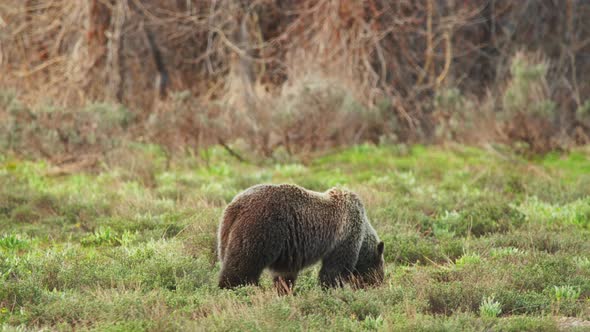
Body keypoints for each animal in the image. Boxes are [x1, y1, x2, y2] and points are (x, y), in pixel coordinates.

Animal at [217, 183, 384, 294]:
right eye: (381, 270)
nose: (378, 285)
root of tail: (236, 206)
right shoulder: (344, 236)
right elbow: (334, 270)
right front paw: (332, 289)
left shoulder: (289, 254)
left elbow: (284, 275)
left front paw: (284, 291)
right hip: (261, 229)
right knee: (243, 264)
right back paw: (234, 289)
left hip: (226, 233)